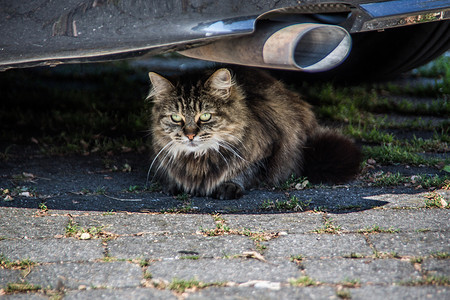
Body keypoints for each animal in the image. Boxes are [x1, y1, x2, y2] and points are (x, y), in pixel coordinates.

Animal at [146, 68, 360, 199]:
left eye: (205, 116)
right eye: (176, 117)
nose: (190, 135)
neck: (198, 159)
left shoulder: (267, 150)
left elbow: (244, 172)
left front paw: (229, 185)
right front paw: (175, 184)